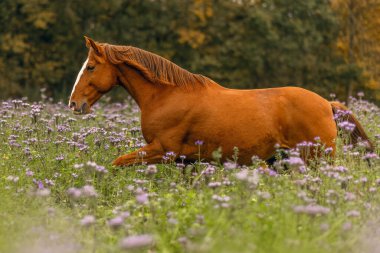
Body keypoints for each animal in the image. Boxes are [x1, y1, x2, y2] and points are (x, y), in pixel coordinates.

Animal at [68, 35, 374, 166]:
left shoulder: (162, 150)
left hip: (316, 159)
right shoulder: (183, 160)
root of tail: (327, 105)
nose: (73, 104)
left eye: (91, 67)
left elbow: (117, 162)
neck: (167, 96)